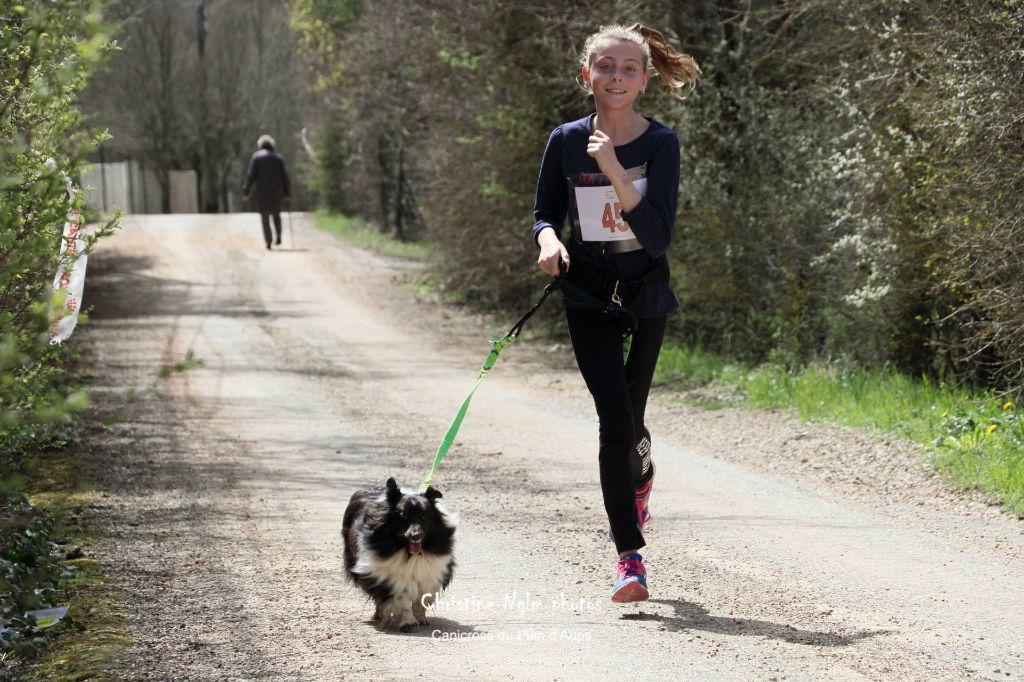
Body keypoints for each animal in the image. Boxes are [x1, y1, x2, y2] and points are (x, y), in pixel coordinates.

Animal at [344, 475, 456, 630]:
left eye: (424, 516)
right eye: (403, 516)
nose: (415, 536)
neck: (408, 553)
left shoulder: (429, 572)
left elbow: (421, 597)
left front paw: (421, 618)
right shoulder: (386, 575)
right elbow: (400, 597)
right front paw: (408, 622)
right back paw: (379, 615)